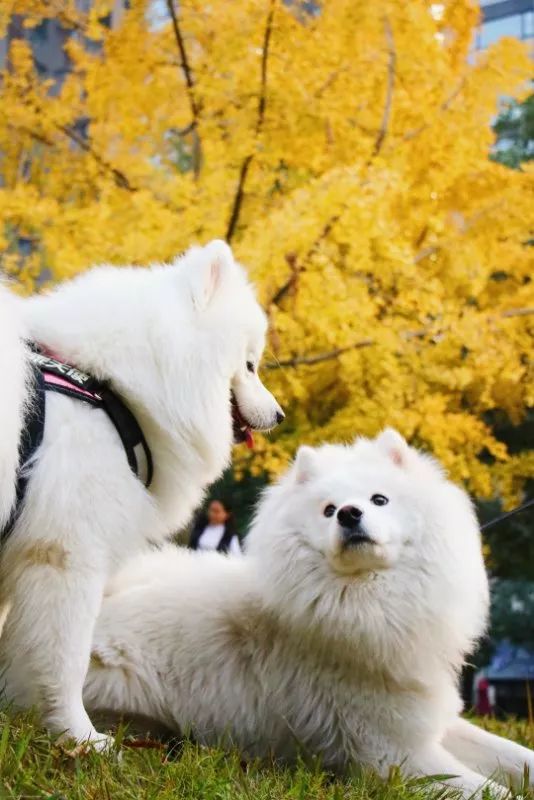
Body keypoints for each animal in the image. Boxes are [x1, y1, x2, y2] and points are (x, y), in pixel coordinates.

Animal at [0, 241, 284, 748]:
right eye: (250, 365)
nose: (280, 415)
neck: (108, 390)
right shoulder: (68, 555)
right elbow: (67, 660)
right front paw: (82, 739)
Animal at [84, 428, 534, 796]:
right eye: (328, 509)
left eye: (380, 499)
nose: (350, 513)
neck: (368, 598)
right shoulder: (394, 755)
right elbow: (492, 789)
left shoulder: (430, 724)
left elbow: (515, 755)